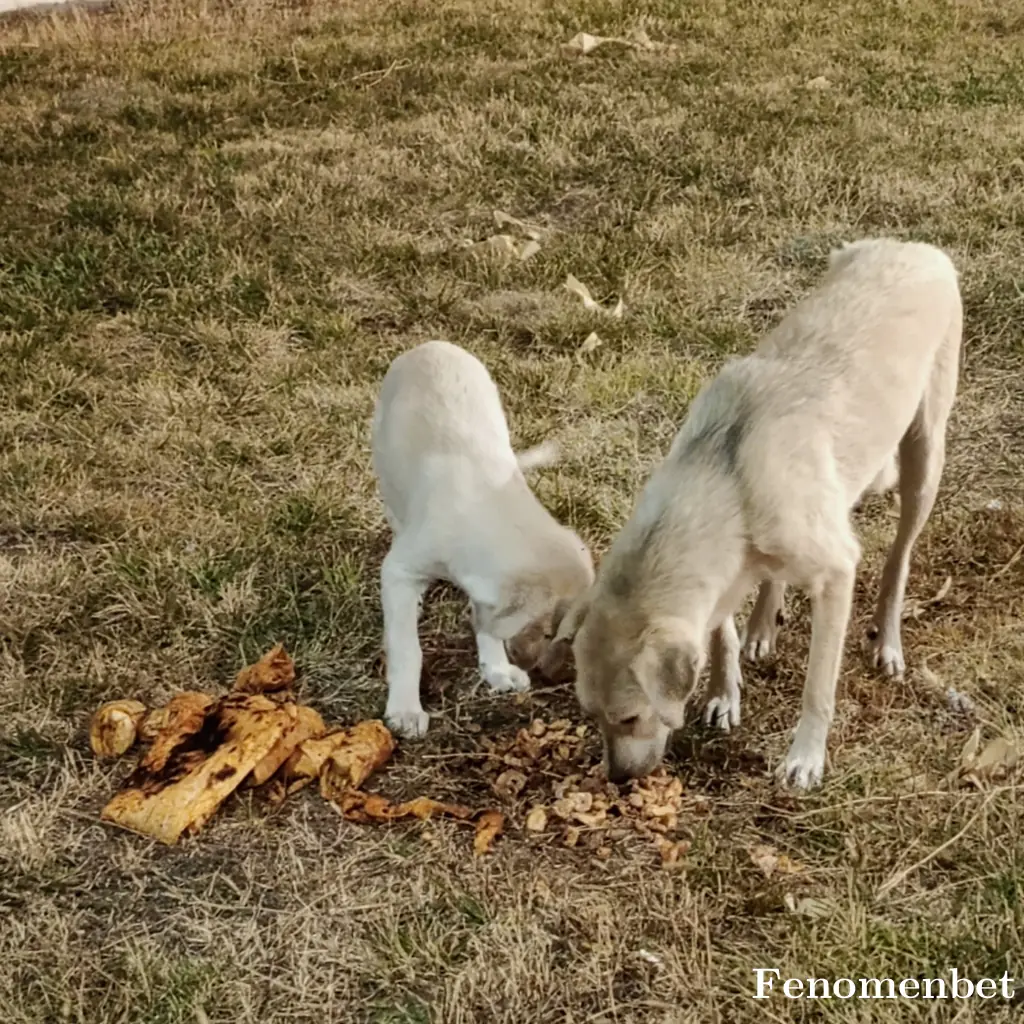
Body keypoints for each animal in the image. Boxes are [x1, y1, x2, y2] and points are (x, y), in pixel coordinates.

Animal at [370, 342, 593, 737]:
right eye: (550, 633)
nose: (551, 678)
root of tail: (432, 344)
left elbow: (488, 624)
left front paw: (497, 669)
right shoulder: (399, 569)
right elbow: (408, 647)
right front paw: (406, 710)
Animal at [548, 239, 962, 790]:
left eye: (630, 718)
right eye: (591, 716)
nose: (617, 780)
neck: (723, 472)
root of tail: (914, 246)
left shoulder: (836, 574)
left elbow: (818, 687)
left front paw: (806, 757)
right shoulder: (722, 578)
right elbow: (721, 635)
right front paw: (724, 694)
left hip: (924, 459)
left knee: (899, 559)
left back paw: (887, 639)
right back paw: (765, 623)